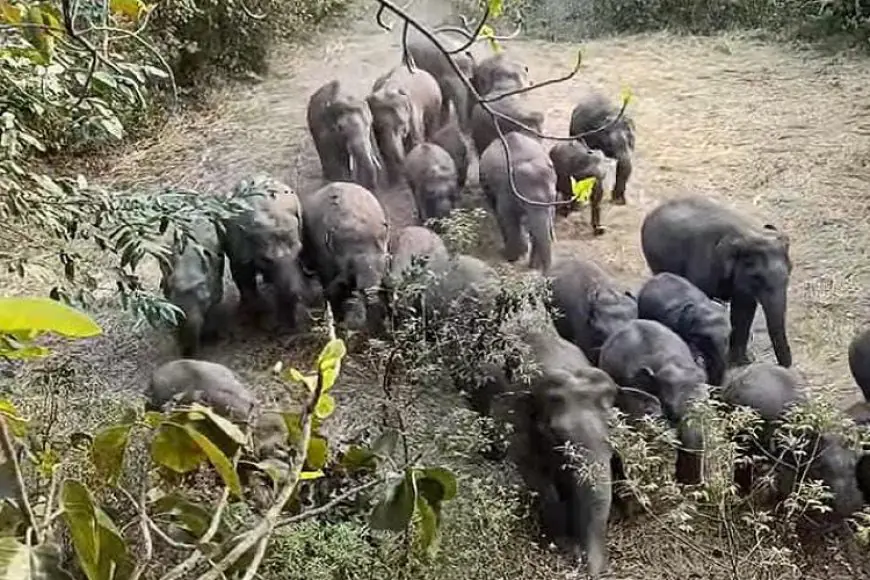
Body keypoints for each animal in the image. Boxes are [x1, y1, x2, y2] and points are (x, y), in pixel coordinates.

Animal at [223, 175, 306, 326]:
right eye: (266, 259)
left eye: (299, 251)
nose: (295, 291)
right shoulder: (238, 255)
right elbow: (244, 282)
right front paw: (253, 313)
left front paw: (286, 322)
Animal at [474, 321, 617, 578]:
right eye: (553, 433)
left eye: (612, 428)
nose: (591, 568)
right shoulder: (515, 417)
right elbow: (534, 474)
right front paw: (562, 541)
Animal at [479, 131, 557, 272]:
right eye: (524, 201)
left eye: (552, 199)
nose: (544, 272)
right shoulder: (506, 189)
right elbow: (507, 217)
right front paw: (512, 257)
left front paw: (532, 264)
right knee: (496, 210)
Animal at [640, 195, 793, 368]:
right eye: (757, 277)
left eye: (790, 272)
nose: (785, 366)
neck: (747, 233)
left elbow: (743, 310)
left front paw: (741, 362)